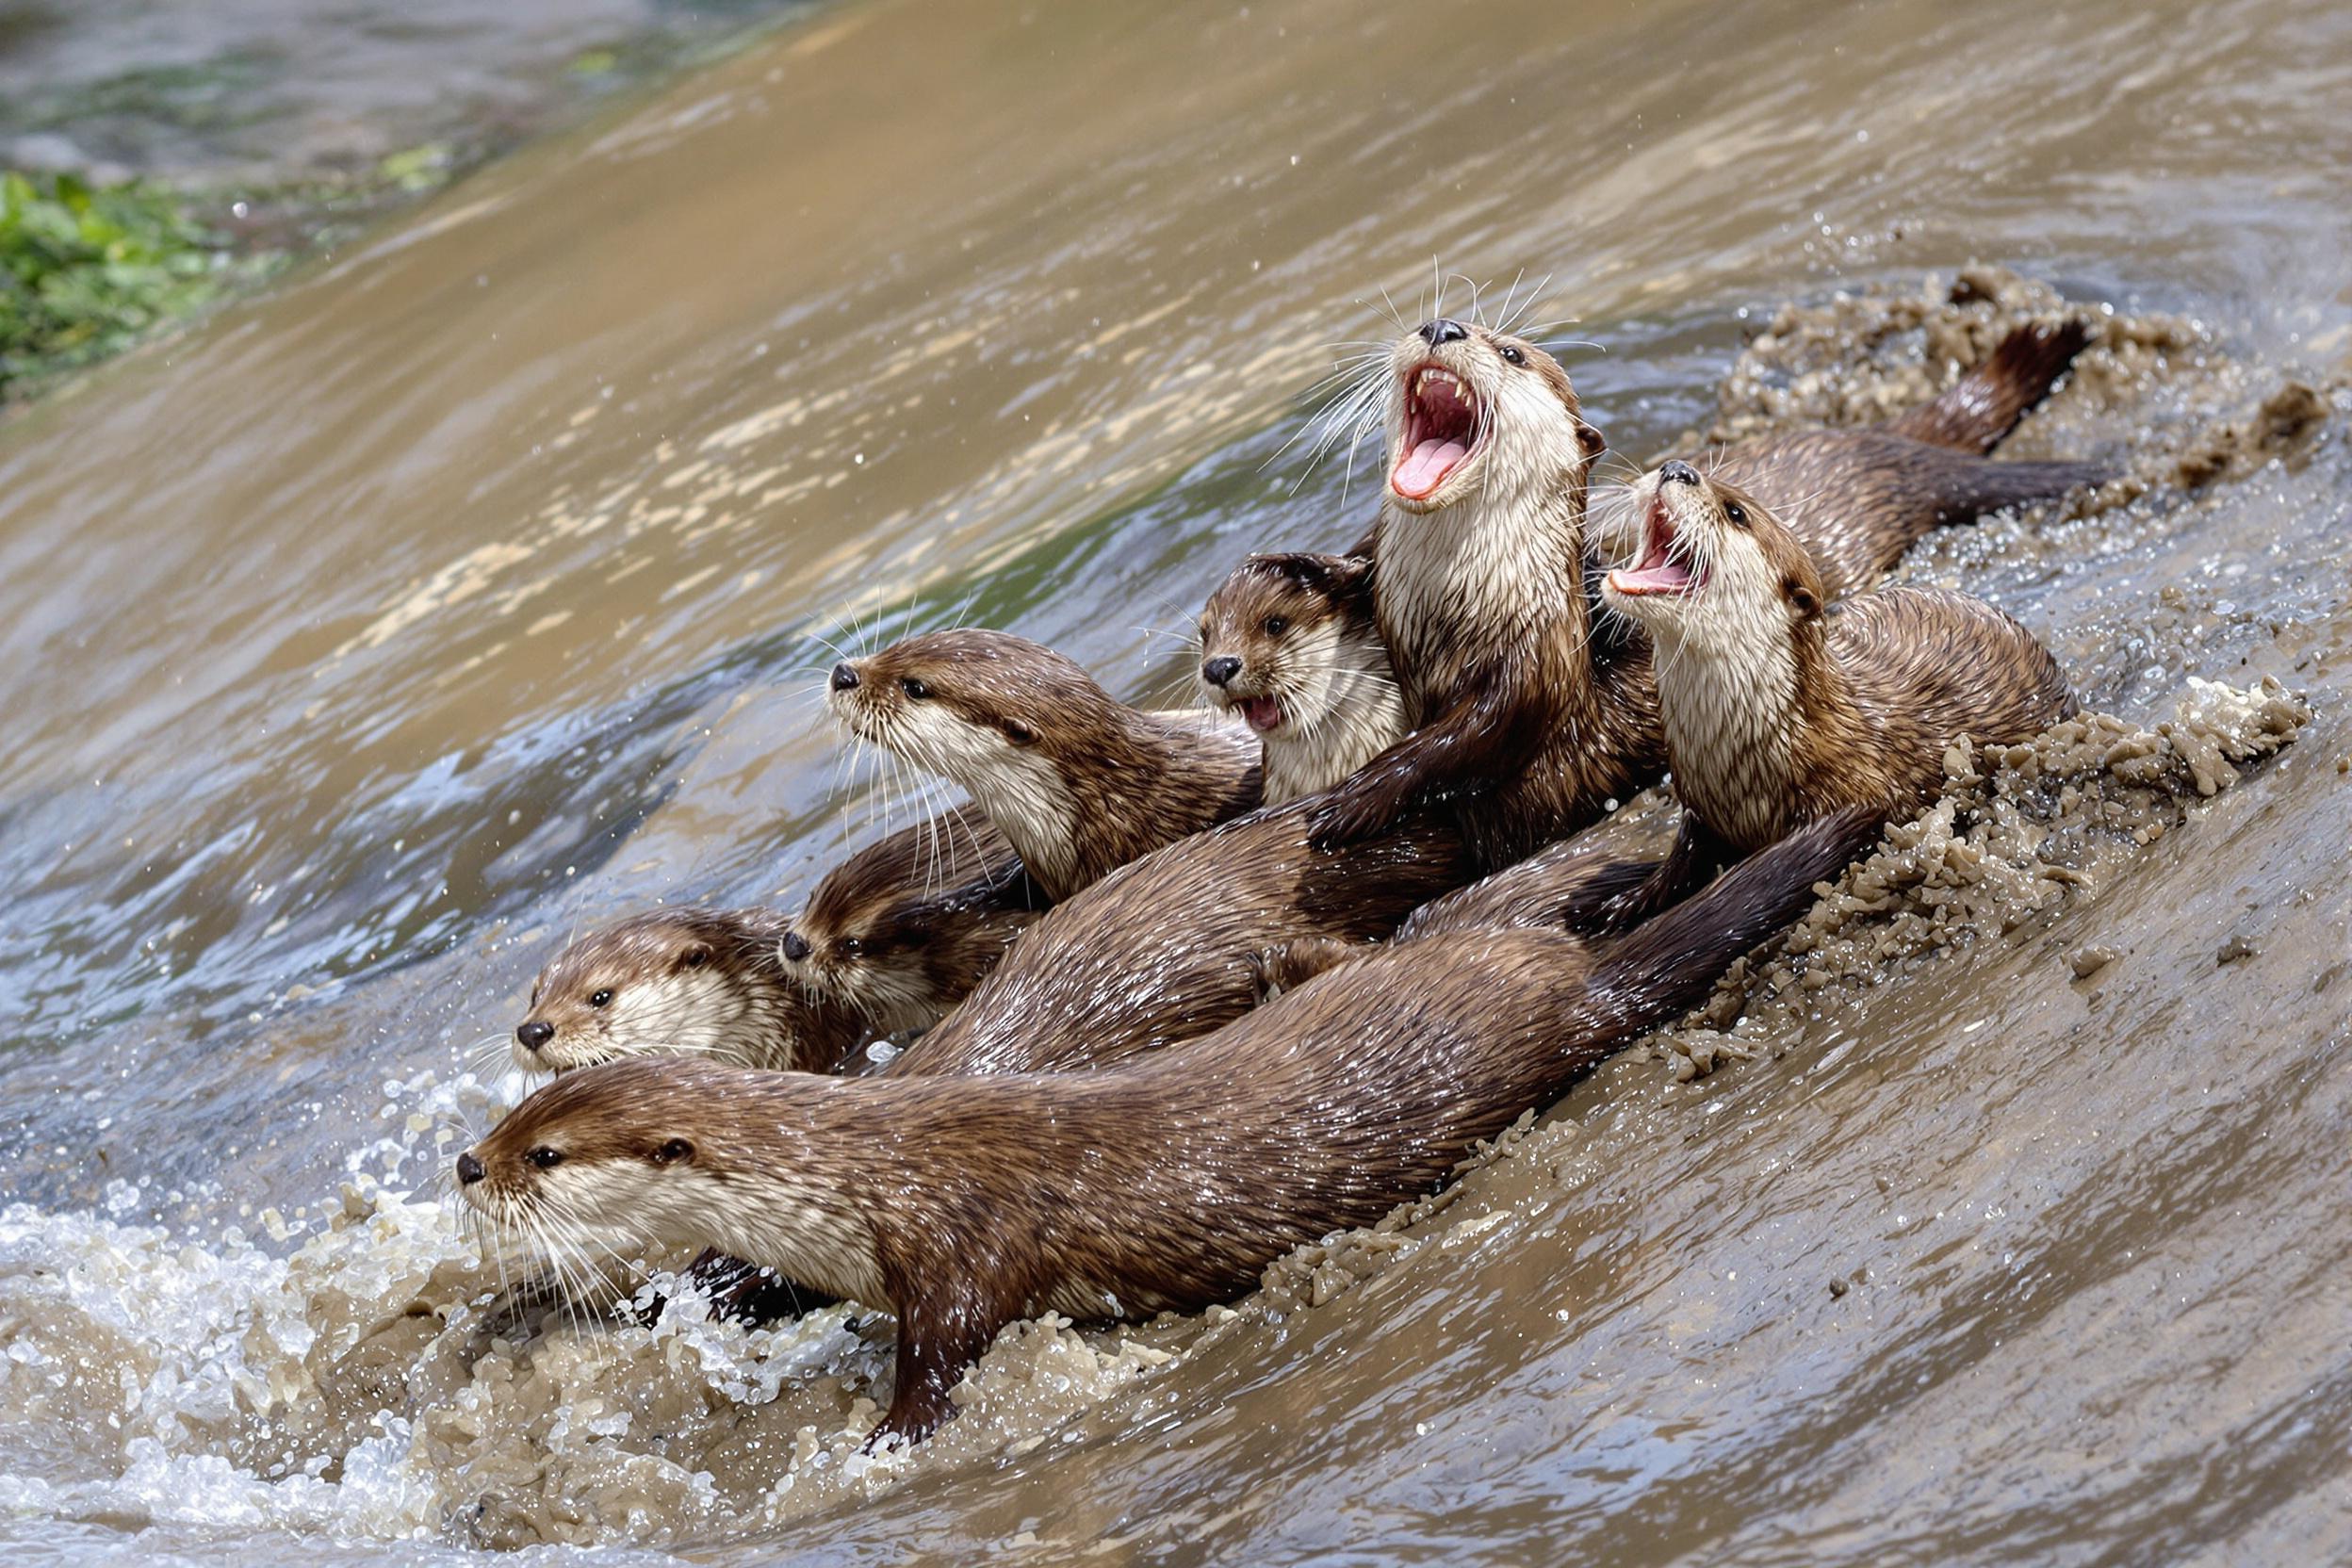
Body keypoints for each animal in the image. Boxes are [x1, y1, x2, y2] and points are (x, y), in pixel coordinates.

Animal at [458, 808, 1881, 1447]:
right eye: (514, 1121)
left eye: (545, 1155)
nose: (467, 1161)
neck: (854, 1177)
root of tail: (1563, 989)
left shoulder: (957, 1253)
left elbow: (941, 1355)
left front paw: (883, 1443)